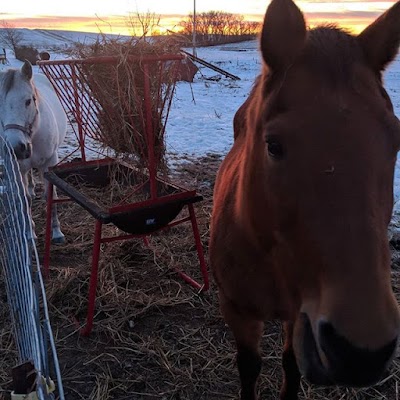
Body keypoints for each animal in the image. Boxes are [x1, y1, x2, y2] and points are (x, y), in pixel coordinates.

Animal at [0, 58, 67, 241]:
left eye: (29, 100)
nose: (16, 148)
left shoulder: (49, 163)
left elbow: (50, 196)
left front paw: (57, 232)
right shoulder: (18, 167)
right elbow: (25, 199)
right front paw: (30, 232)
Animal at [209, 0, 400, 398]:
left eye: (397, 140)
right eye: (273, 145)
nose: (361, 354)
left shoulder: (298, 315)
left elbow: (291, 365)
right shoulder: (236, 310)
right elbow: (249, 367)